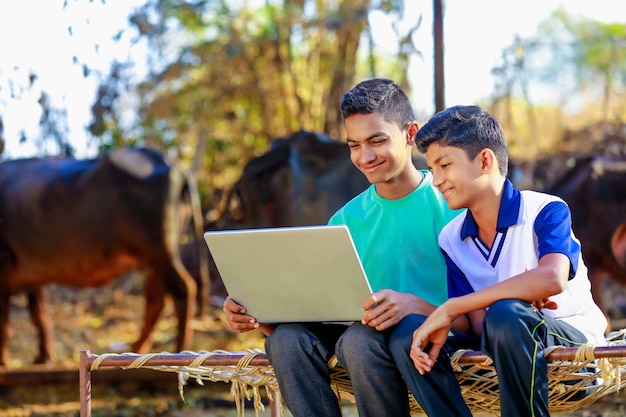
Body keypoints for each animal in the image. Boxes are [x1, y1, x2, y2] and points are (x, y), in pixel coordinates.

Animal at [0, 148, 210, 366]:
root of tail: (169, 161)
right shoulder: (32, 274)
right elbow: (38, 314)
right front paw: (43, 356)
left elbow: (5, 319)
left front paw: (4, 361)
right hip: (153, 260)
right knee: (156, 298)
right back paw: (138, 348)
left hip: (161, 252)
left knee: (183, 290)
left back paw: (180, 351)